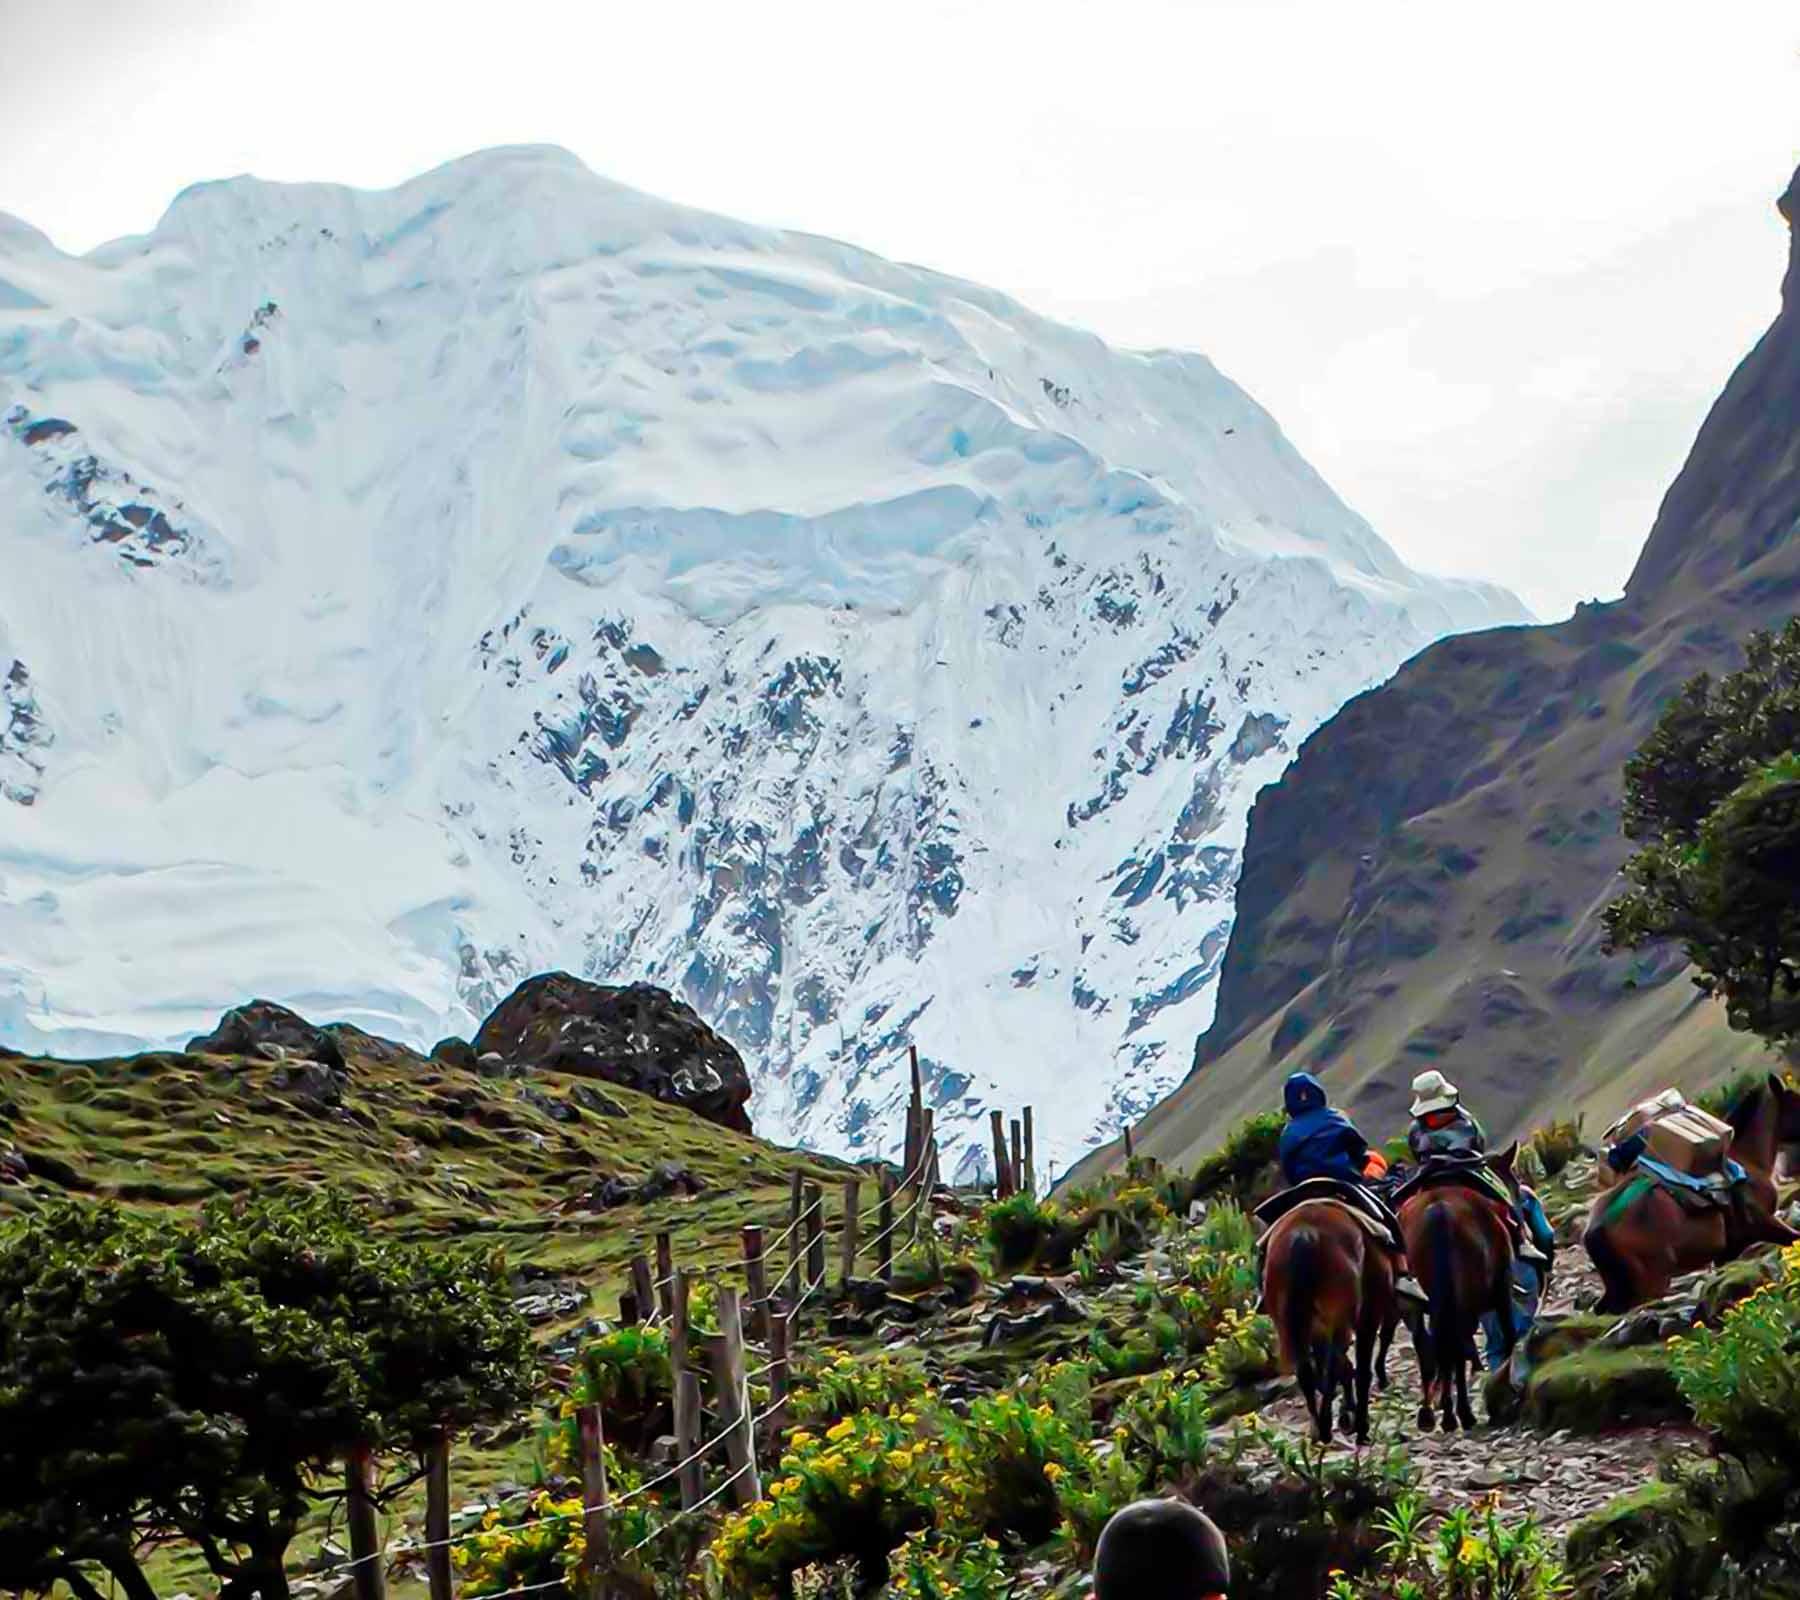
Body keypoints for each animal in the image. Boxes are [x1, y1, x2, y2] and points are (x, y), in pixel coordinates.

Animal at [1260, 1195, 1396, 1447]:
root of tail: (1304, 1233)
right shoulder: (1367, 1319)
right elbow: (1359, 1370)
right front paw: (1358, 1423)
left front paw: (1346, 1415)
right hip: (1340, 1317)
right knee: (1332, 1366)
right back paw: (1326, 1427)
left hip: (1289, 1324)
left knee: (1308, 1370)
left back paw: (1318, 1428)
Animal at [1389, 1144, 1519, 1432]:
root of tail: (1438, 1210)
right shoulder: (1501, 1292)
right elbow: (1505, 1336)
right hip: (1464, 1301)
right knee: (1454, 1346)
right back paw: (1459, 1414)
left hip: (1415, 1304)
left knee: (1429, 1348)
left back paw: (1430, 1413)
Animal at [1584, 1072, 1800, 1310]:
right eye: (1797, 1101)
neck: (1748, 1161)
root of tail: (1595, 1228)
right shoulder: (1766, 1223)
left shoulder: (1730, 1250)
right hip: (1650, 1284)